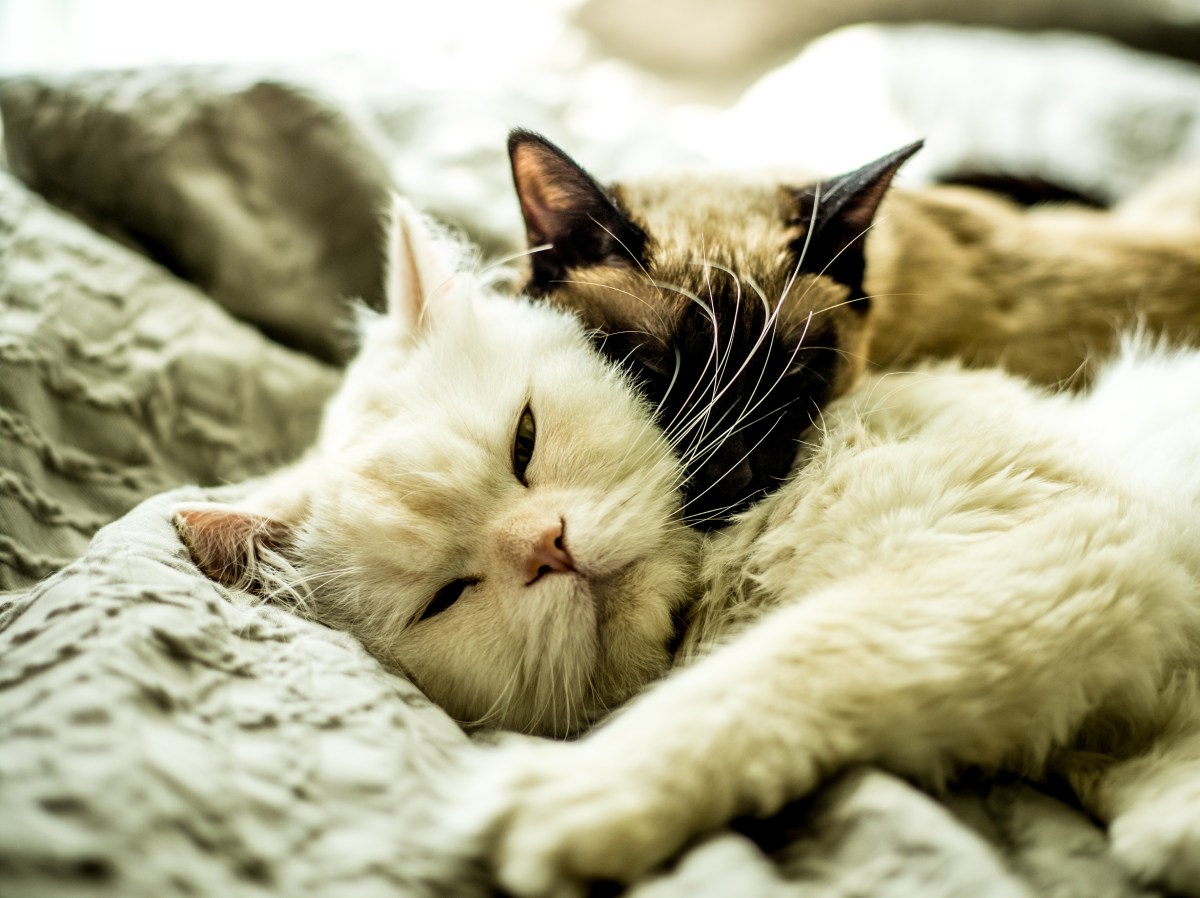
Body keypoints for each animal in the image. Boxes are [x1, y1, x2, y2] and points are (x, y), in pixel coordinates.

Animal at [175, 201, 1200, 897]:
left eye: (524, 441)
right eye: (448, 596)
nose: (548, 549)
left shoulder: (1054, 548)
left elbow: (783, 669)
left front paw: (577, 793)